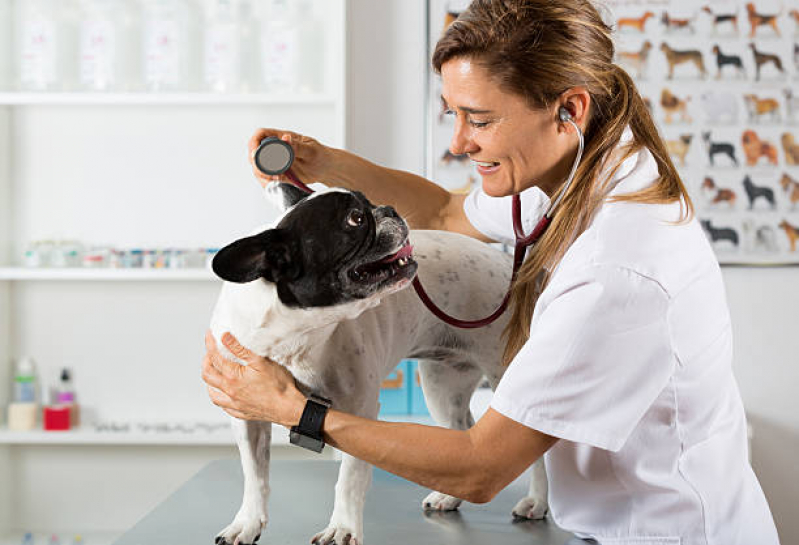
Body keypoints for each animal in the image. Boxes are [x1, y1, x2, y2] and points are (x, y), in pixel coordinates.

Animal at [209, 183, 552, 544]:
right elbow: (254, 474)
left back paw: (536, 501)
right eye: (355, 219)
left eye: (368, 202)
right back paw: (449, 497)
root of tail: (511, 266)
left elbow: (349, 478)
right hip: (442, 390)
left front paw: (342, 528)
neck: (297, 336)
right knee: (462, 436)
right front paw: (247, 523)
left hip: (505, 376)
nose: (389, 208)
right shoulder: (246, 416)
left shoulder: (356, 415)